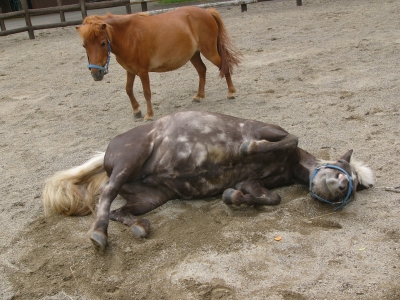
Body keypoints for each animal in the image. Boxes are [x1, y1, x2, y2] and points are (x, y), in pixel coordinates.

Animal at [43, 110, 376, 251]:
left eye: (353, 190)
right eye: (342, 167)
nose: (342, 187)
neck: (289, 164)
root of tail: (107, 156)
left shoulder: (251, 182)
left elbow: (269, 198)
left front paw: (232, 198)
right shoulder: (267, 131)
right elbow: (288, 138)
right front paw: (246, 148)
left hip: (151, 198)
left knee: (118, 208)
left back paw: (140, 227)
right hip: (131, 158)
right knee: (106, 194)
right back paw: (99, 235)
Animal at [76, 7, 242, 119]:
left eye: (103, 43)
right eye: (84, 45)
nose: (96, 74)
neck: (129, 36)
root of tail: (207, 11)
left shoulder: (143, 72)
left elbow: (147, 92)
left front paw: (149, 114)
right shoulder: (130, 70)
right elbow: (128, 89)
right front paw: (136, 110)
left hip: (210, 52)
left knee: (224, 65)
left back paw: (231, 92)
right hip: (194, 55)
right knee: (202, 70)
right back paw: (198, 96)